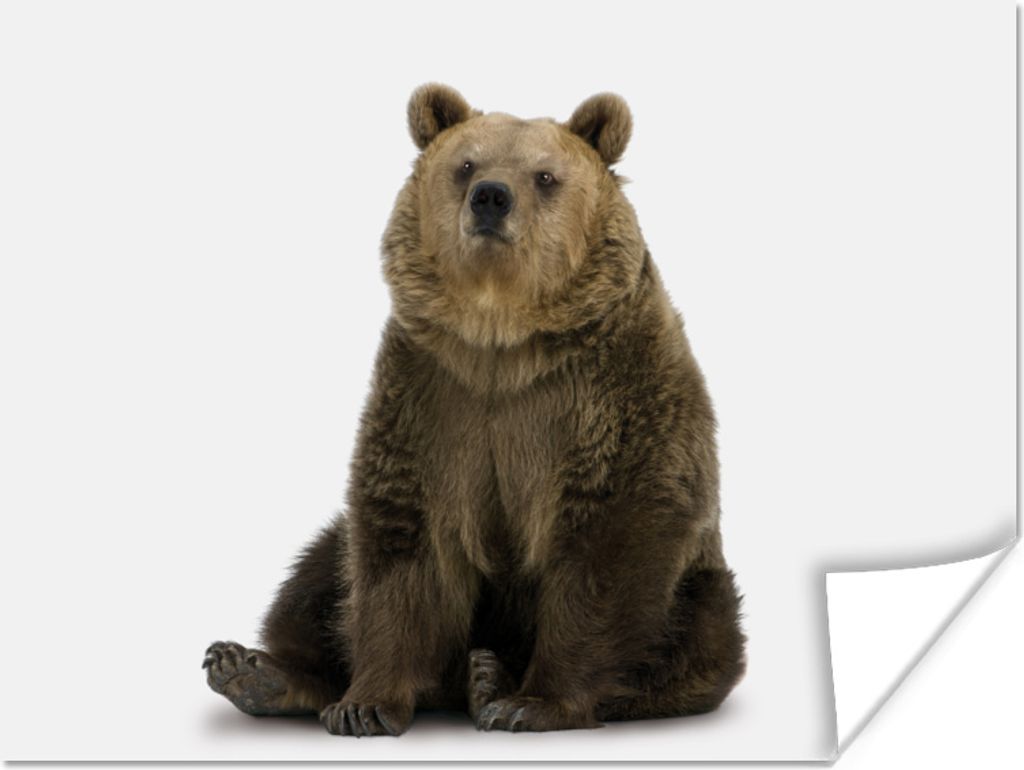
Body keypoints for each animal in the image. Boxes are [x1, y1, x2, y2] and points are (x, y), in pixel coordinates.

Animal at [203, 83, 746, 736]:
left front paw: (533, 702)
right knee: (318, 574)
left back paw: (491, 678)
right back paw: (254, 671)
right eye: (466, 165)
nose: (491, 196)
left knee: (697, 636)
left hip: (699, 590)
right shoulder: (431, 396)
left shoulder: (612, 392)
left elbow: (611, 540)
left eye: (544, 175)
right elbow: (400, 543)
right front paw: (364, 704)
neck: (501, 340)